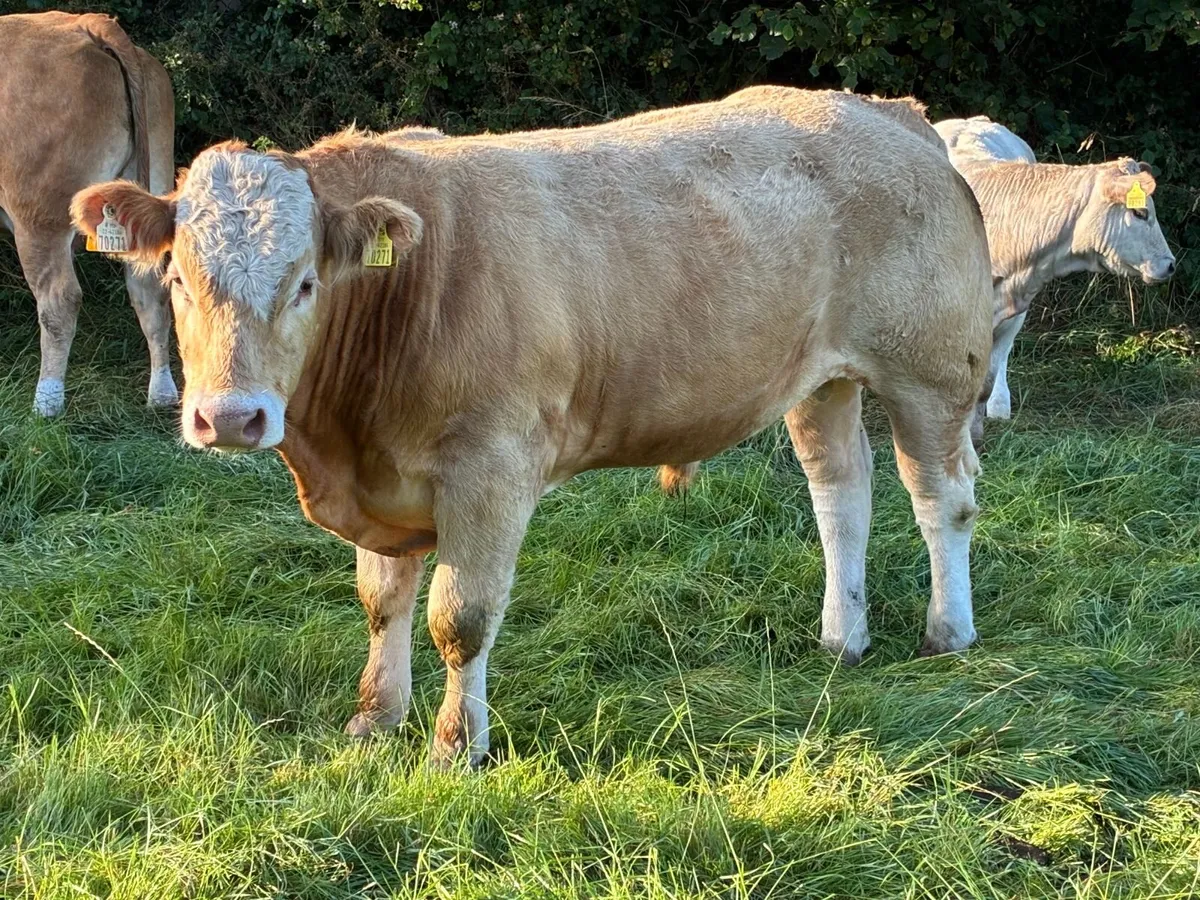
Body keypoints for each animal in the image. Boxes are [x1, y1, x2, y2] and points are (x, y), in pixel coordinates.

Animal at [0, 11, 177, 416]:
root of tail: (86, 22)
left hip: (39, 215)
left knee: (60, 300)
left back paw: (47, 404)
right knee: (150, 291)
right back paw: (161, 394)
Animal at [72, 86, 994, 767]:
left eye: (305, 283)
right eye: (177, 277)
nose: (230, 416)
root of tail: (885, 113)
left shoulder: (491, 470)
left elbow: (460, 617)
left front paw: (456, 747)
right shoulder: (382, 478)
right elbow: (381, 601)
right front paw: (376, 718)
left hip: (930, 370)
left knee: (940, 498)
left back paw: (948, 632)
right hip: (821, 380)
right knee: (842, 494)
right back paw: (843, 636)